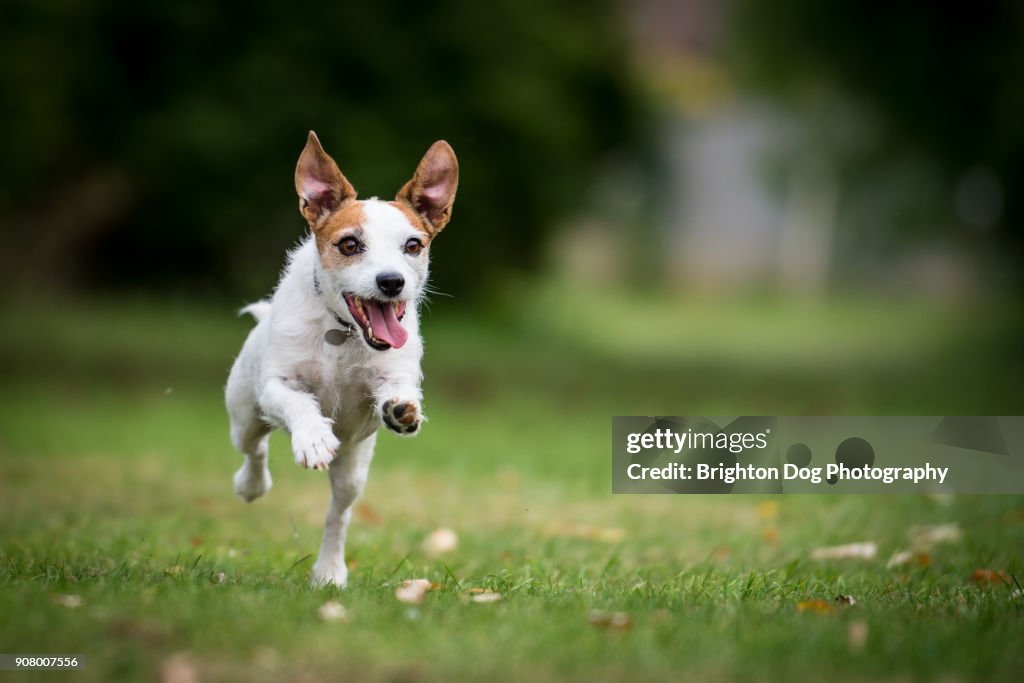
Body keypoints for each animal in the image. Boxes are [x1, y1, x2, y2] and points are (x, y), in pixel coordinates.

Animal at [228, 132, 460, 589]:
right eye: (349, 244)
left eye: (413, 245)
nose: (392, 282)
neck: (342, 331)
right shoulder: (276, 385)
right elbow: (297, 402)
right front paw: (313, 437)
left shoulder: (392, 375)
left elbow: (397, 390)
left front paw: (402, 409)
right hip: (244, 413)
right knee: (254, 448)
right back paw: (251, 485)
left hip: (354, 468)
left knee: (338, 514)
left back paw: (330, 570)